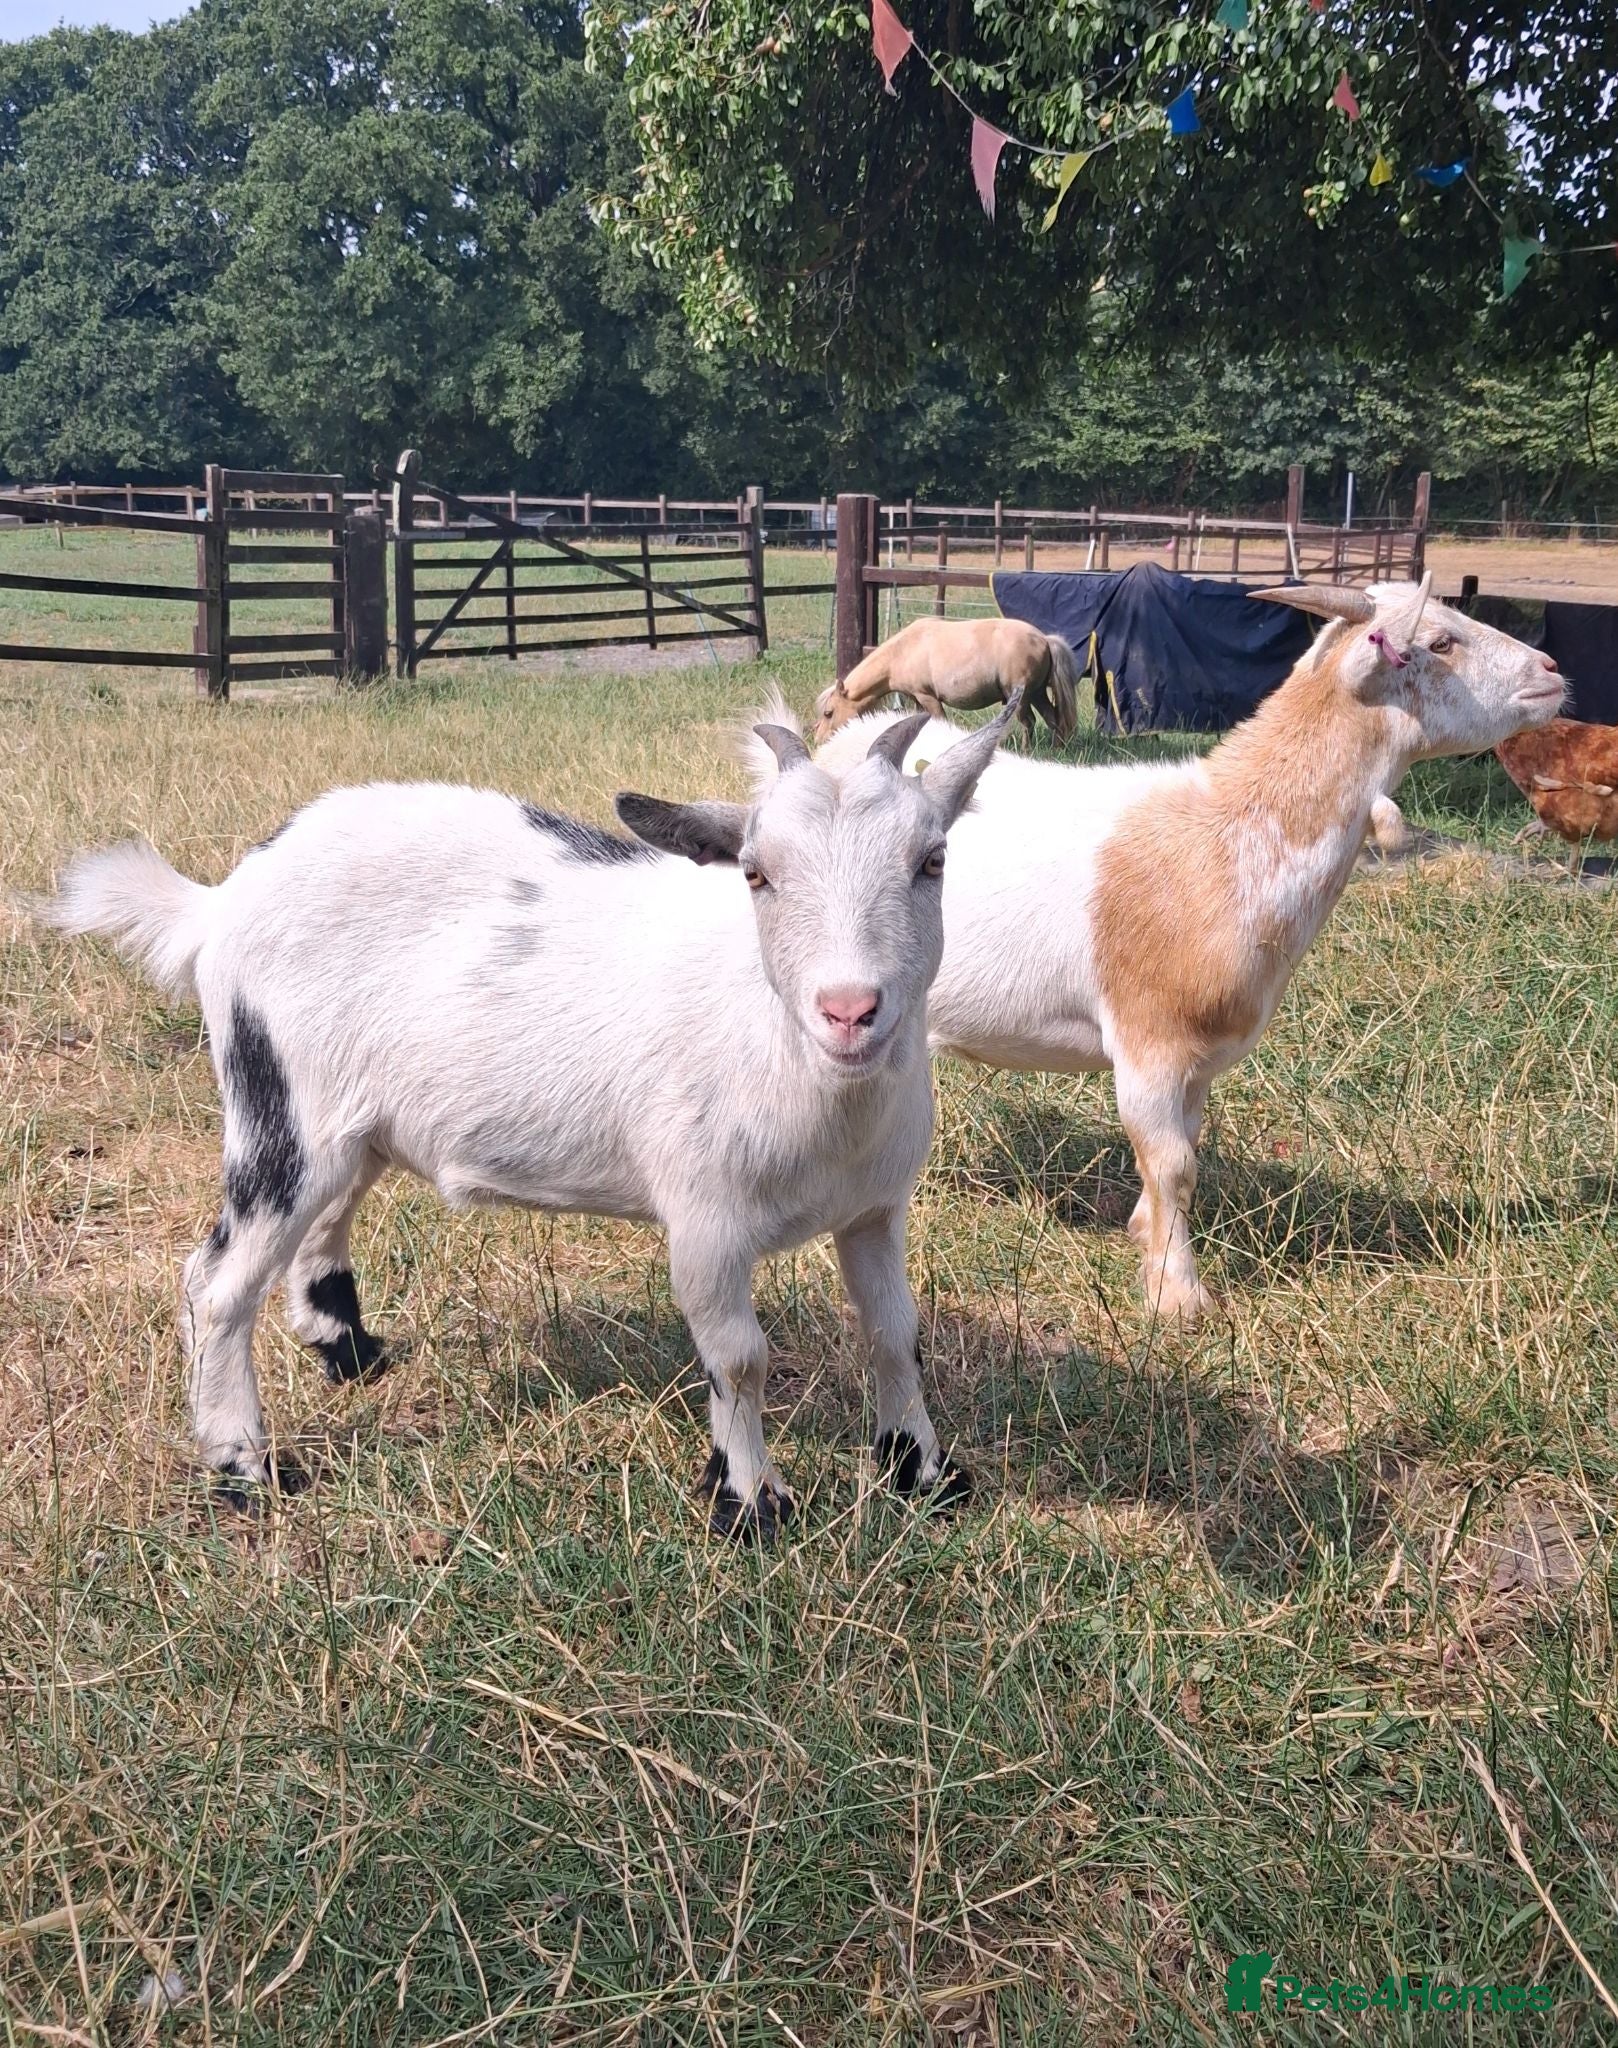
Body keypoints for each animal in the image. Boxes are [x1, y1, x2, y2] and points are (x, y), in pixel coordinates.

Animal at [37, 706, 1017, 1534]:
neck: (792, 1062)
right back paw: (244, 1467)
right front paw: (750, 1504)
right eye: (756, 872)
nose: (850, 1011)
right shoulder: (704, 1218)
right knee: (216, 1282)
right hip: (277, 1100)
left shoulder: (875, 1209)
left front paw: (924, 1473)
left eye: (932, 860)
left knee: (321, 1222)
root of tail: (217, 905)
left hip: (349, 1123)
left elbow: (895, 1333)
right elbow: (739, 1354)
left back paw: (349, 1350)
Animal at [814, 617, 1080, 744]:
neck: (904, 650)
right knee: (1053, 719)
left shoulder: (928, 697)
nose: (818, 740)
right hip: (1037, 694)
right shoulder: (916, 699)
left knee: (1029, 723)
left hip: (1022, 697)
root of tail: (1044, 639)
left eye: (829, 713)